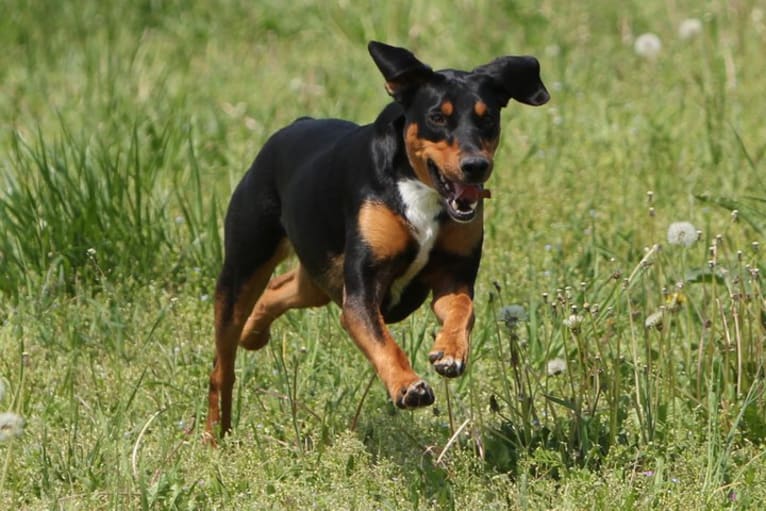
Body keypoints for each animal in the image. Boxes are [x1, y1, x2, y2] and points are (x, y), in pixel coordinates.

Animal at [207, 41, 548, 440]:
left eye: (488, 117)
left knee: (281, 288)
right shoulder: (361, 290)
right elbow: (383, 341)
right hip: (243, 266)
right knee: (222, 365)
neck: (421, 191)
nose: (476, 165)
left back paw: (254, 333)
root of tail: (294, 126)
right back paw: (214, 434)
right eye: (437, 117)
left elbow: (463, 309)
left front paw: (449, 352)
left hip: (320, 274)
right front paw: (407, 385)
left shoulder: (453, 276)